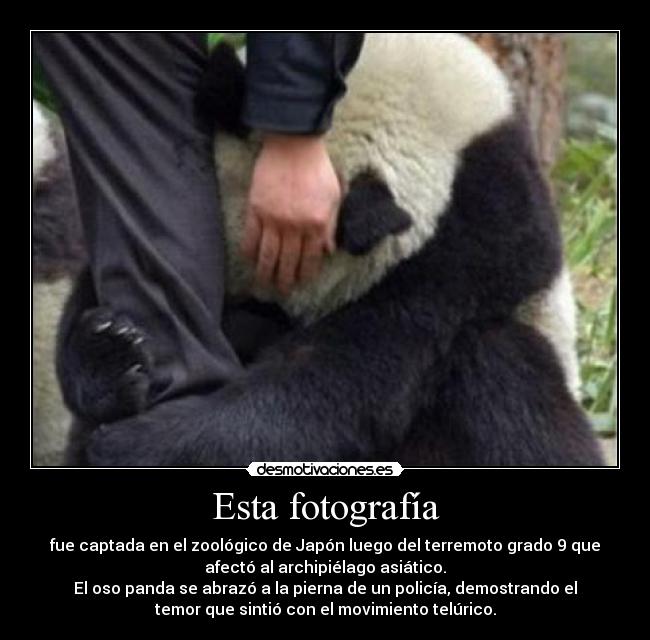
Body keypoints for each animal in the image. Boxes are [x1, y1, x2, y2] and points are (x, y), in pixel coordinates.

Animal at [44, 33, 604, 466]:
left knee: (505, 373)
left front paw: (138, 443)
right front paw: (107, 349)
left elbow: (342, 376)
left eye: (270, 285)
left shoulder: (471, 243)